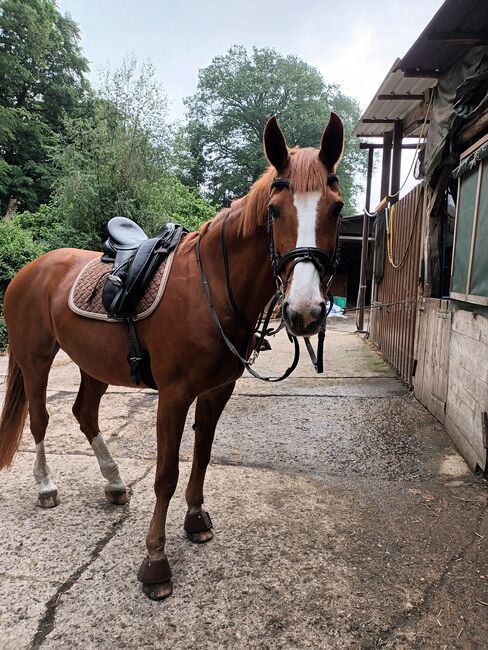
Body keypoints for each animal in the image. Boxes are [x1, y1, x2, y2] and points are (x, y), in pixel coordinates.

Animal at [0, 115, 344, 596]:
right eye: (275, 210)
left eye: (337, 208)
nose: (306, 312)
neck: (210, 288)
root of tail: (29, 270)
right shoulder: (174, 395)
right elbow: (166, 474)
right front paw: (156, 561)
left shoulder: (217, 391)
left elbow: (201, 455)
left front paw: (196, 519)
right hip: (35, 359)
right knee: (39, 419)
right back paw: (46, 487)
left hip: (93, 364)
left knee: (84, 413)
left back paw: (114, 482)